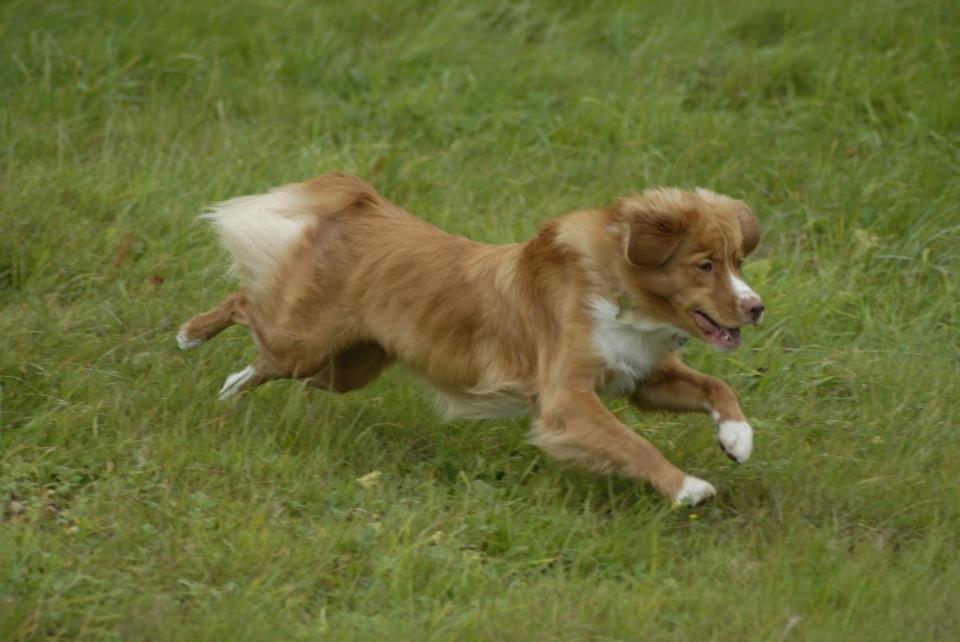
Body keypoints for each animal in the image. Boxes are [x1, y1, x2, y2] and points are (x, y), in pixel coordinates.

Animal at [178, 172, 764, 502]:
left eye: (738, 260)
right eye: (705, 265)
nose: (756, 308)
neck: (617, 287)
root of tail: (367, 207)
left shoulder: (640, 376)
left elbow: (716, 386)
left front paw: (737, 436)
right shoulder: (566, 399)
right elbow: (632, 444)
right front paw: (686, 487)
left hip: (345, 367)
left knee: (260, 361)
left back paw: (229, 390)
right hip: (304, 343)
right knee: (245, 304)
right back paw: (190, 334)